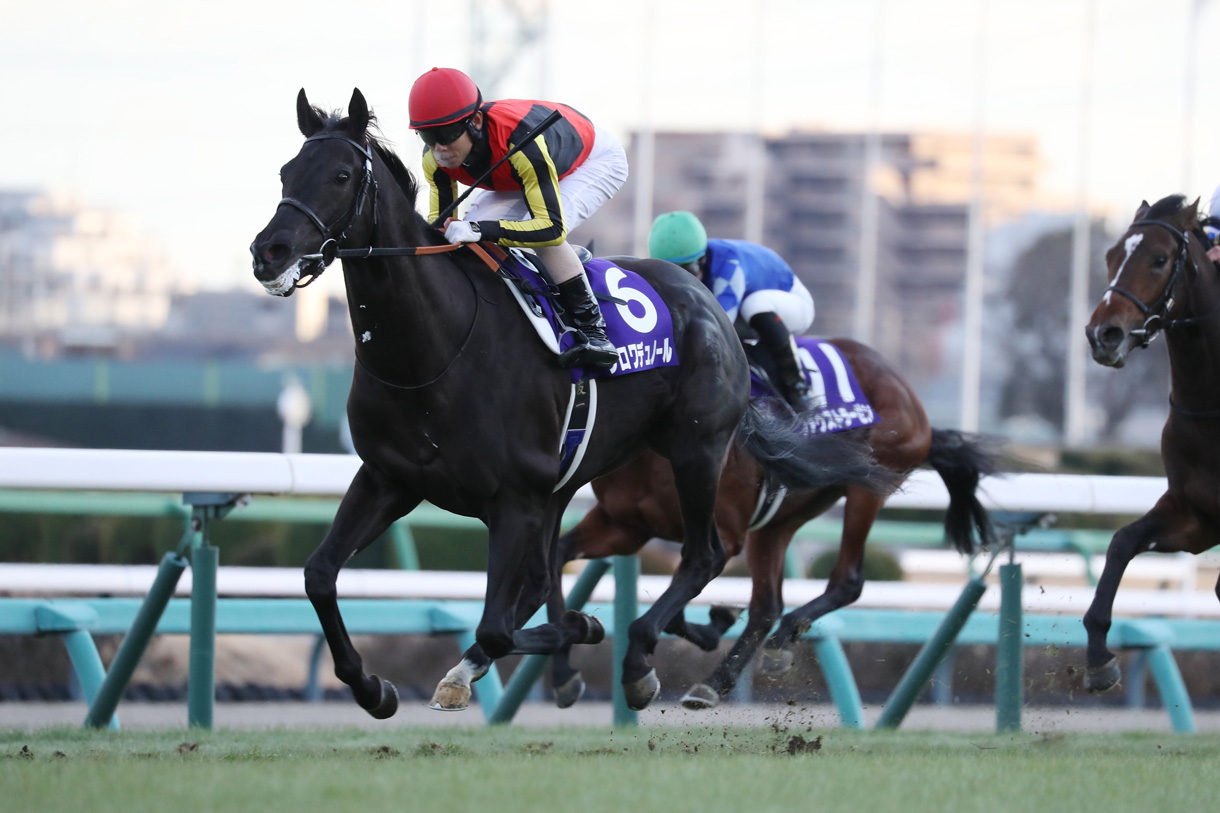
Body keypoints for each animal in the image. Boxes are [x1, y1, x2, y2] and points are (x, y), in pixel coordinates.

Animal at [250, 88, 895, 716]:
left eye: (339, 175)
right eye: (285, 172)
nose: (269, 251)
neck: (434, 350)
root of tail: (707, 301)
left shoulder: (514, 498)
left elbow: (496, 628)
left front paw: (578, 633)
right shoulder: (390, 478)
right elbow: (319, 575)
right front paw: (371, 687)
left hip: (697, 448)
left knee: (703, 556)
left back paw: (638, 661)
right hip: (570, 479)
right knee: (551, 578)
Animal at [547, 337, 998, 709]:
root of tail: (909, 393)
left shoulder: (725, 534)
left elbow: (686, 583)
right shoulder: (624, 525)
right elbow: (561, 556)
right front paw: (565, 668)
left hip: (868, 486)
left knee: (847, 580)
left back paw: (781, 639)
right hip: (778, 522)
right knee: (767, 606)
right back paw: (719, 679)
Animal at [1082, 194, 1220, 693]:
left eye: (1160, 259)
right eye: (1110, 256)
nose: (1103, 334)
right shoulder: (1195, 516)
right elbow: (1123, 541)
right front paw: (1099, 658)